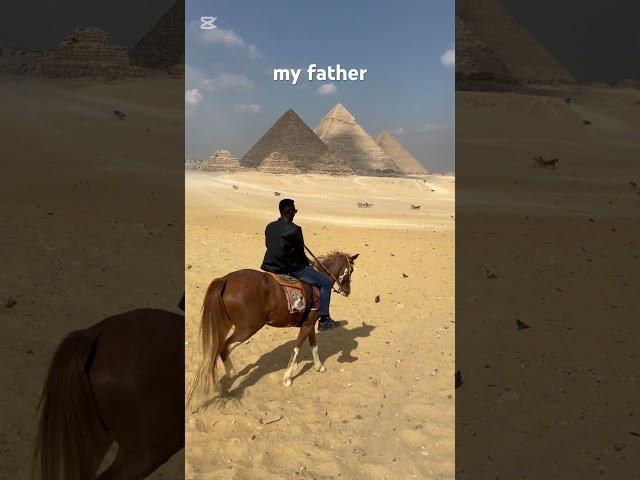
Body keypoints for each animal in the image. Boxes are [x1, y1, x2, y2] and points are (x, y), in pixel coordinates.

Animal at [189, 251, 360, 404]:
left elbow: (314, 346)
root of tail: (225, 279)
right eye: (350, 270)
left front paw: (319, 366)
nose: (347, 291)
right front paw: (287, 378)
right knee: (224, 346)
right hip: (248, 328)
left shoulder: (309, 324)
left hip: (225, 324)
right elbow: (297, 348)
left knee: (216, 348)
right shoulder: (308, 325)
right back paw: (231, 374)